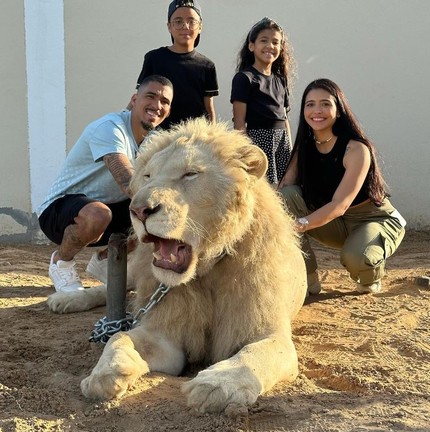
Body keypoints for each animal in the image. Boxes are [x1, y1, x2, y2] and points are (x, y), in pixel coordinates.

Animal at [51, 117, 306, 412]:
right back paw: (67, 299)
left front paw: (216, 384)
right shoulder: (165, 334)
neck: (206, 272)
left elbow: (253, 355)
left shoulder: (269, 331)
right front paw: (103, 375)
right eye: (148, 176)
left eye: (190, 174)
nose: (138, 210)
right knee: (109, 290)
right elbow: (119, 338)